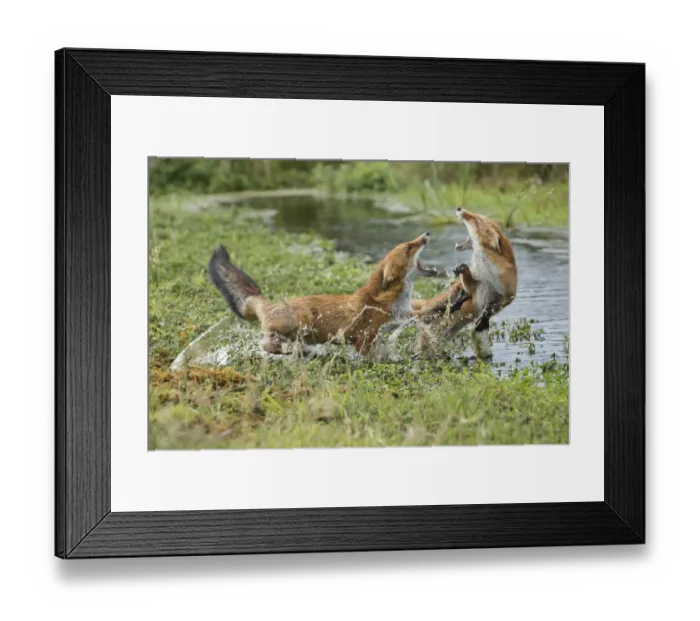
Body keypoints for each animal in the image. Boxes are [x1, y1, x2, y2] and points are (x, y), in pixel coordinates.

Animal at [209, 232, 438, 356]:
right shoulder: (366, 338)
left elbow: (422, 315)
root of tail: (271, 304)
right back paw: (298, 352)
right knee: (267, 345)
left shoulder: (402, 316)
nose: (427, 234)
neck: (388, 300)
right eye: (409, 247)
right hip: (303, 318)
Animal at [411, 207, 518, 359]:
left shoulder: (507, 295)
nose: (459, 208)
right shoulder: (476, 285)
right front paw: (462, 269)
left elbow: (491, 309)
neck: (488, 274)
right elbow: (468, 284)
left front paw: (484, 319)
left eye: (476, 220)